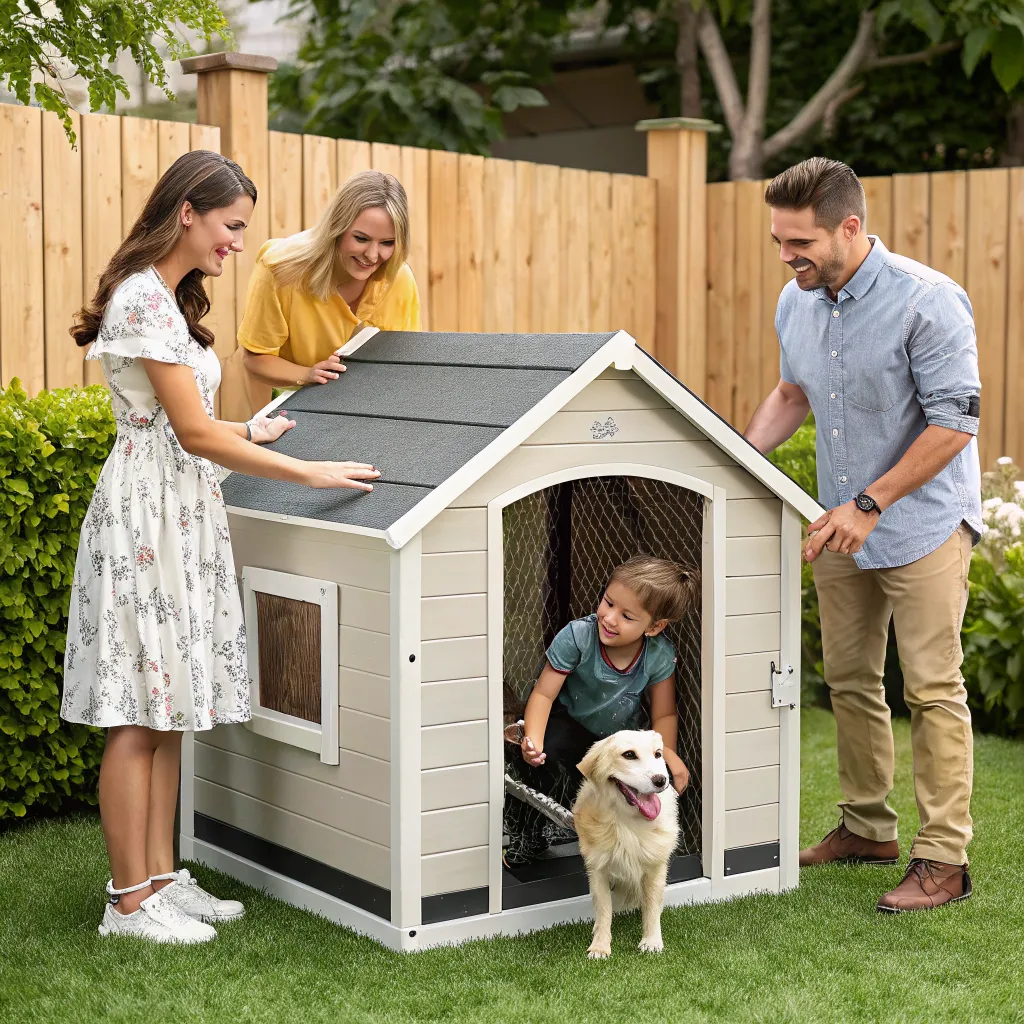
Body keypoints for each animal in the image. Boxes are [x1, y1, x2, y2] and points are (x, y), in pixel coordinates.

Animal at [577, 729, 679, 958]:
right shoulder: (598, 870)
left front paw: (652, 942)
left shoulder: (655, 868)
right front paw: (600, 946)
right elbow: (604, 911)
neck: (627, 824)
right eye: (629, 755)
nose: (661, 780)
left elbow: (651, 907)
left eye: (658, 754)